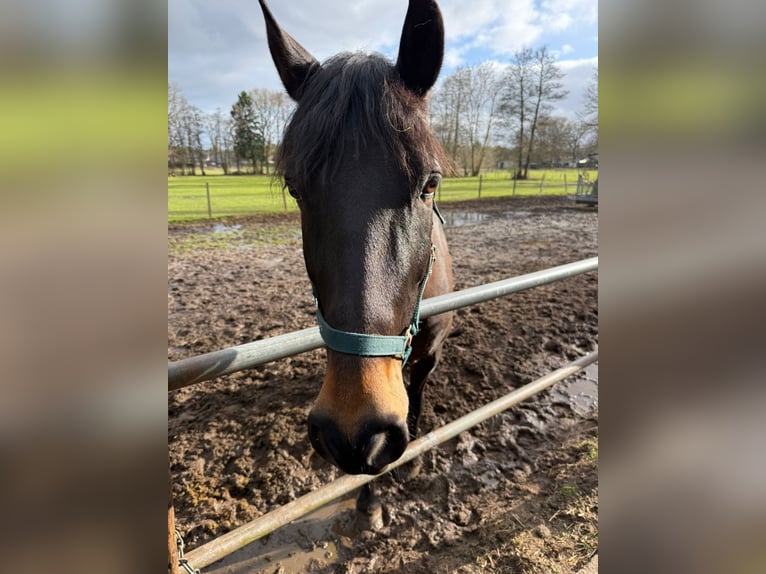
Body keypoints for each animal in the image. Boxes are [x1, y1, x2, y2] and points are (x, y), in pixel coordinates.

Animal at [258, 0, 454, 515]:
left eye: (430, 183)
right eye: (296, 190)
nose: (353, 431)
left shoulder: (429, 352)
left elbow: (415, 396)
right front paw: (368, 494)